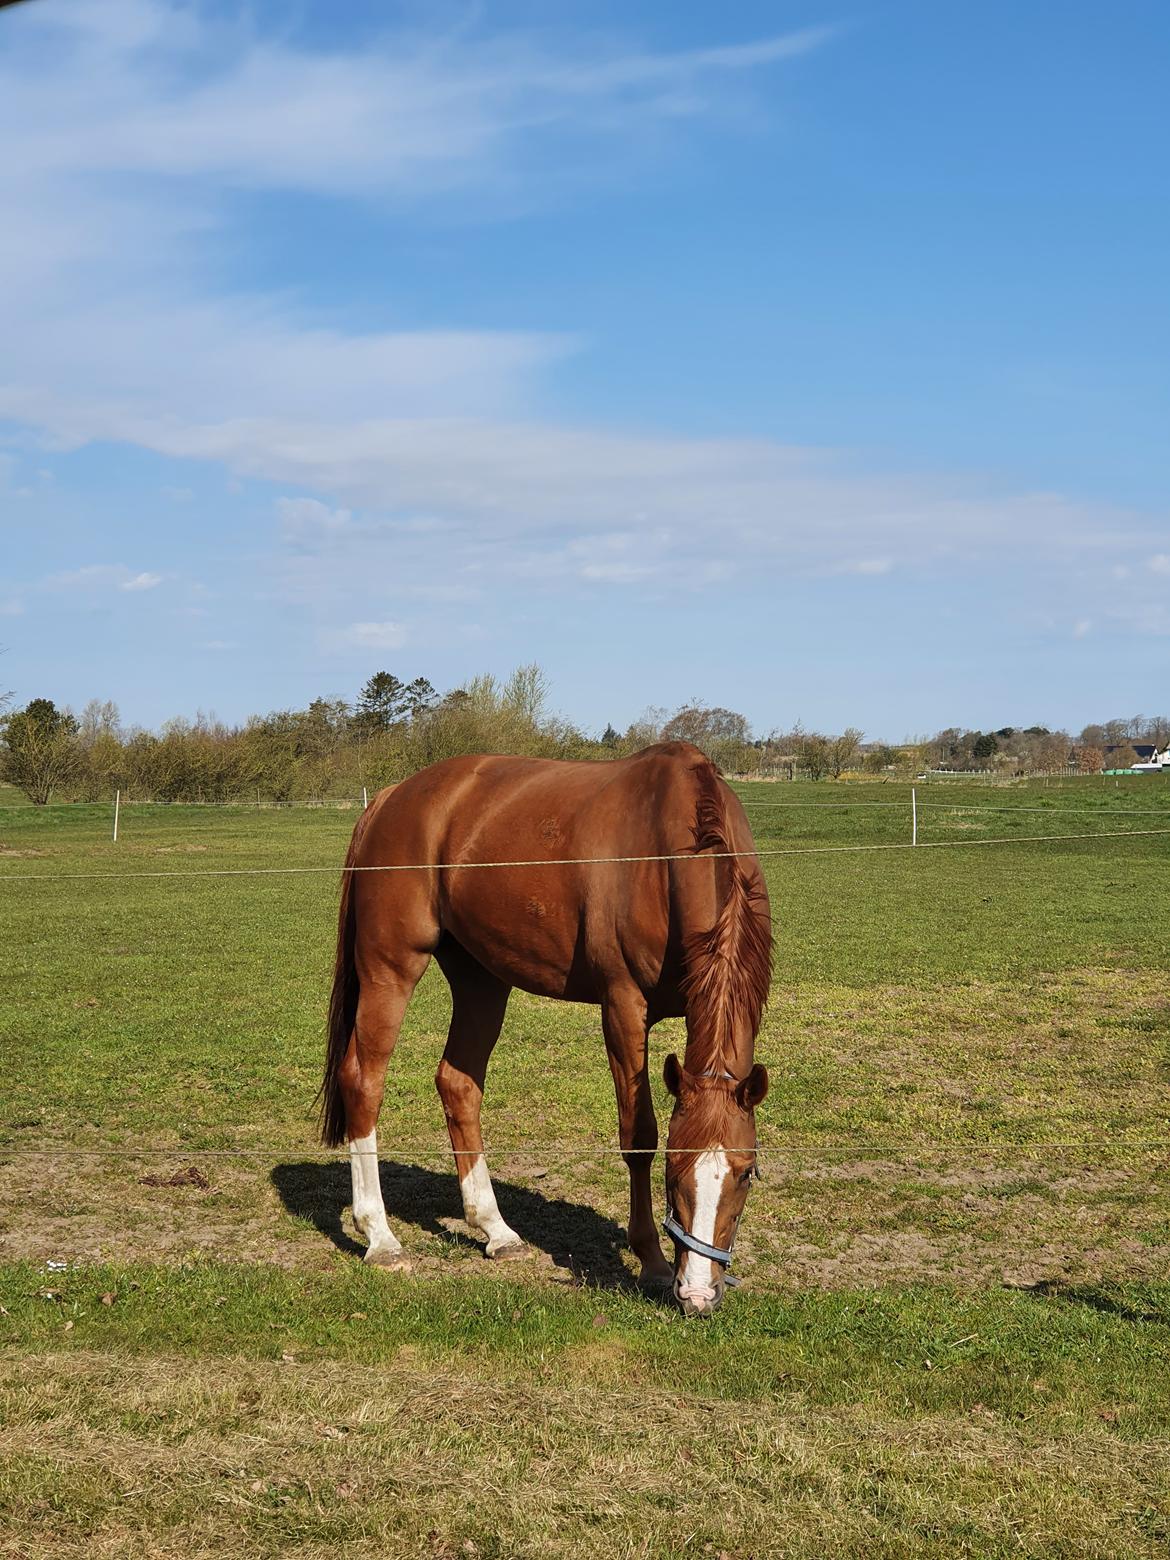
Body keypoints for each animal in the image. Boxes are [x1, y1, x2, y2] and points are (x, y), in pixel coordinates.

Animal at [318, 736, 770, 1310]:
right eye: (674, 1171)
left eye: (745, 1175)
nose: (696, 1293)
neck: (667, 847)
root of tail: (390, 798)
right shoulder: (623, 1006)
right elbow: (638, 1134)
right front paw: (649, 1260)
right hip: (390, 968)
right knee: (363, 1080)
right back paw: (379, 1236)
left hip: (481, 979)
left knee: (458, 1083)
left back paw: (496, 1229)